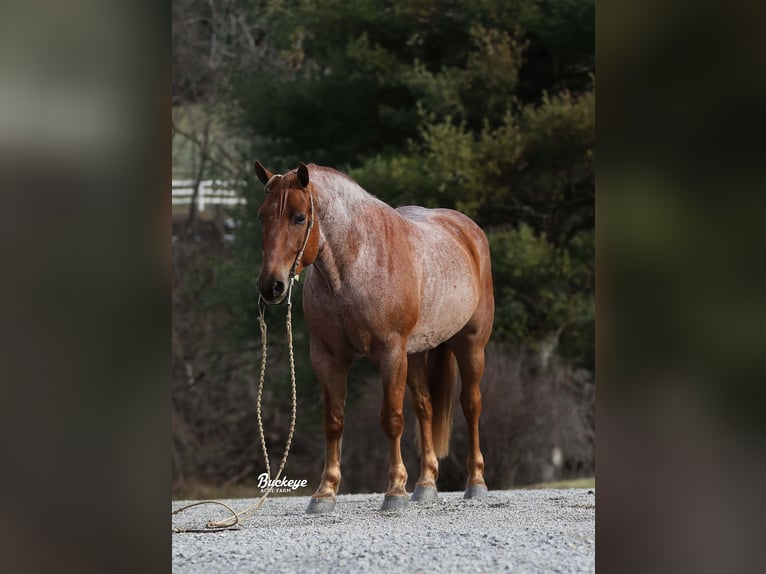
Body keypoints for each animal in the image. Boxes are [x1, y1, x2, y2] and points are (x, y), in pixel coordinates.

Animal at [255, 161, 496, 512]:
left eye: (299, 217)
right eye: (262, 216)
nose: (271, 286)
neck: (354, 266)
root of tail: (467, 231)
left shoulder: (390, 354)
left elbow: (392, 419)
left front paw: (395, 490)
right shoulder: (327, 358)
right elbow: (334, 422)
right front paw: (325, 492)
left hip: (470, 345)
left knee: (471, 404)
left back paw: (475, 482)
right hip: (416, 355)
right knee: (425, 408)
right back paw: (425, 484)